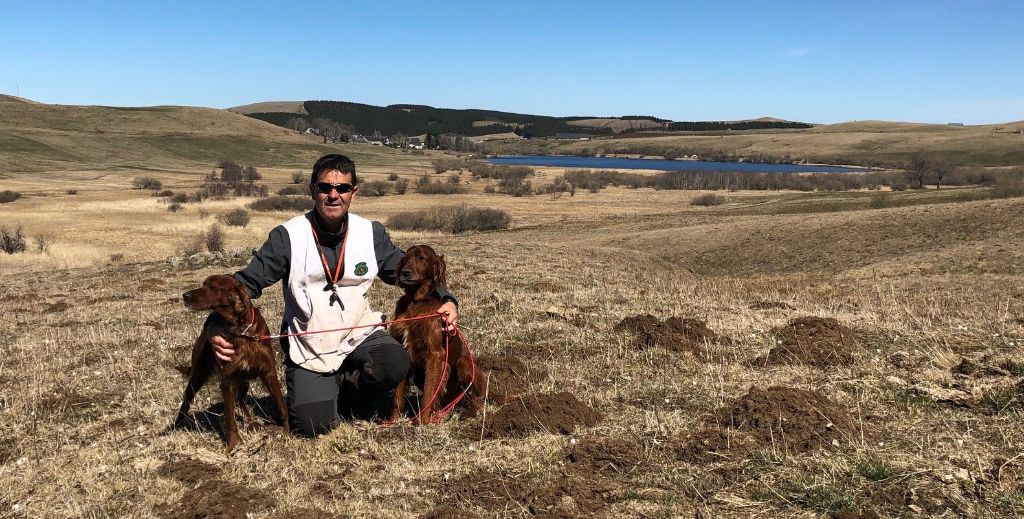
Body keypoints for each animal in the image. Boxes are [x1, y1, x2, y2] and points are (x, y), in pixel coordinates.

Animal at [174, 274, 288, 452]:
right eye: (204, 284)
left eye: (212, 287)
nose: (185, 295)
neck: (241, 331)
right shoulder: (227, 380)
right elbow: (230, 417)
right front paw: (233, 445)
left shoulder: (268, 372)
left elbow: (281, 404)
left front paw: (289, 431)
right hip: (198, 375)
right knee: (186, 399)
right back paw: (176, 425)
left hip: (243, 380)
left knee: (241, 400)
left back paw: (250, 422)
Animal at [389, 245, 489, 423]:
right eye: (405, 258)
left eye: (421, 258)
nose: (405, 273)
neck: (417, 301)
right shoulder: (404, 348)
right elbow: (397, 395)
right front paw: (393, 421)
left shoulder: (435, 354)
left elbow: (429, 393)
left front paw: (421, 422)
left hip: (466, 366)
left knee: (477, 398)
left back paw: (469, 412)